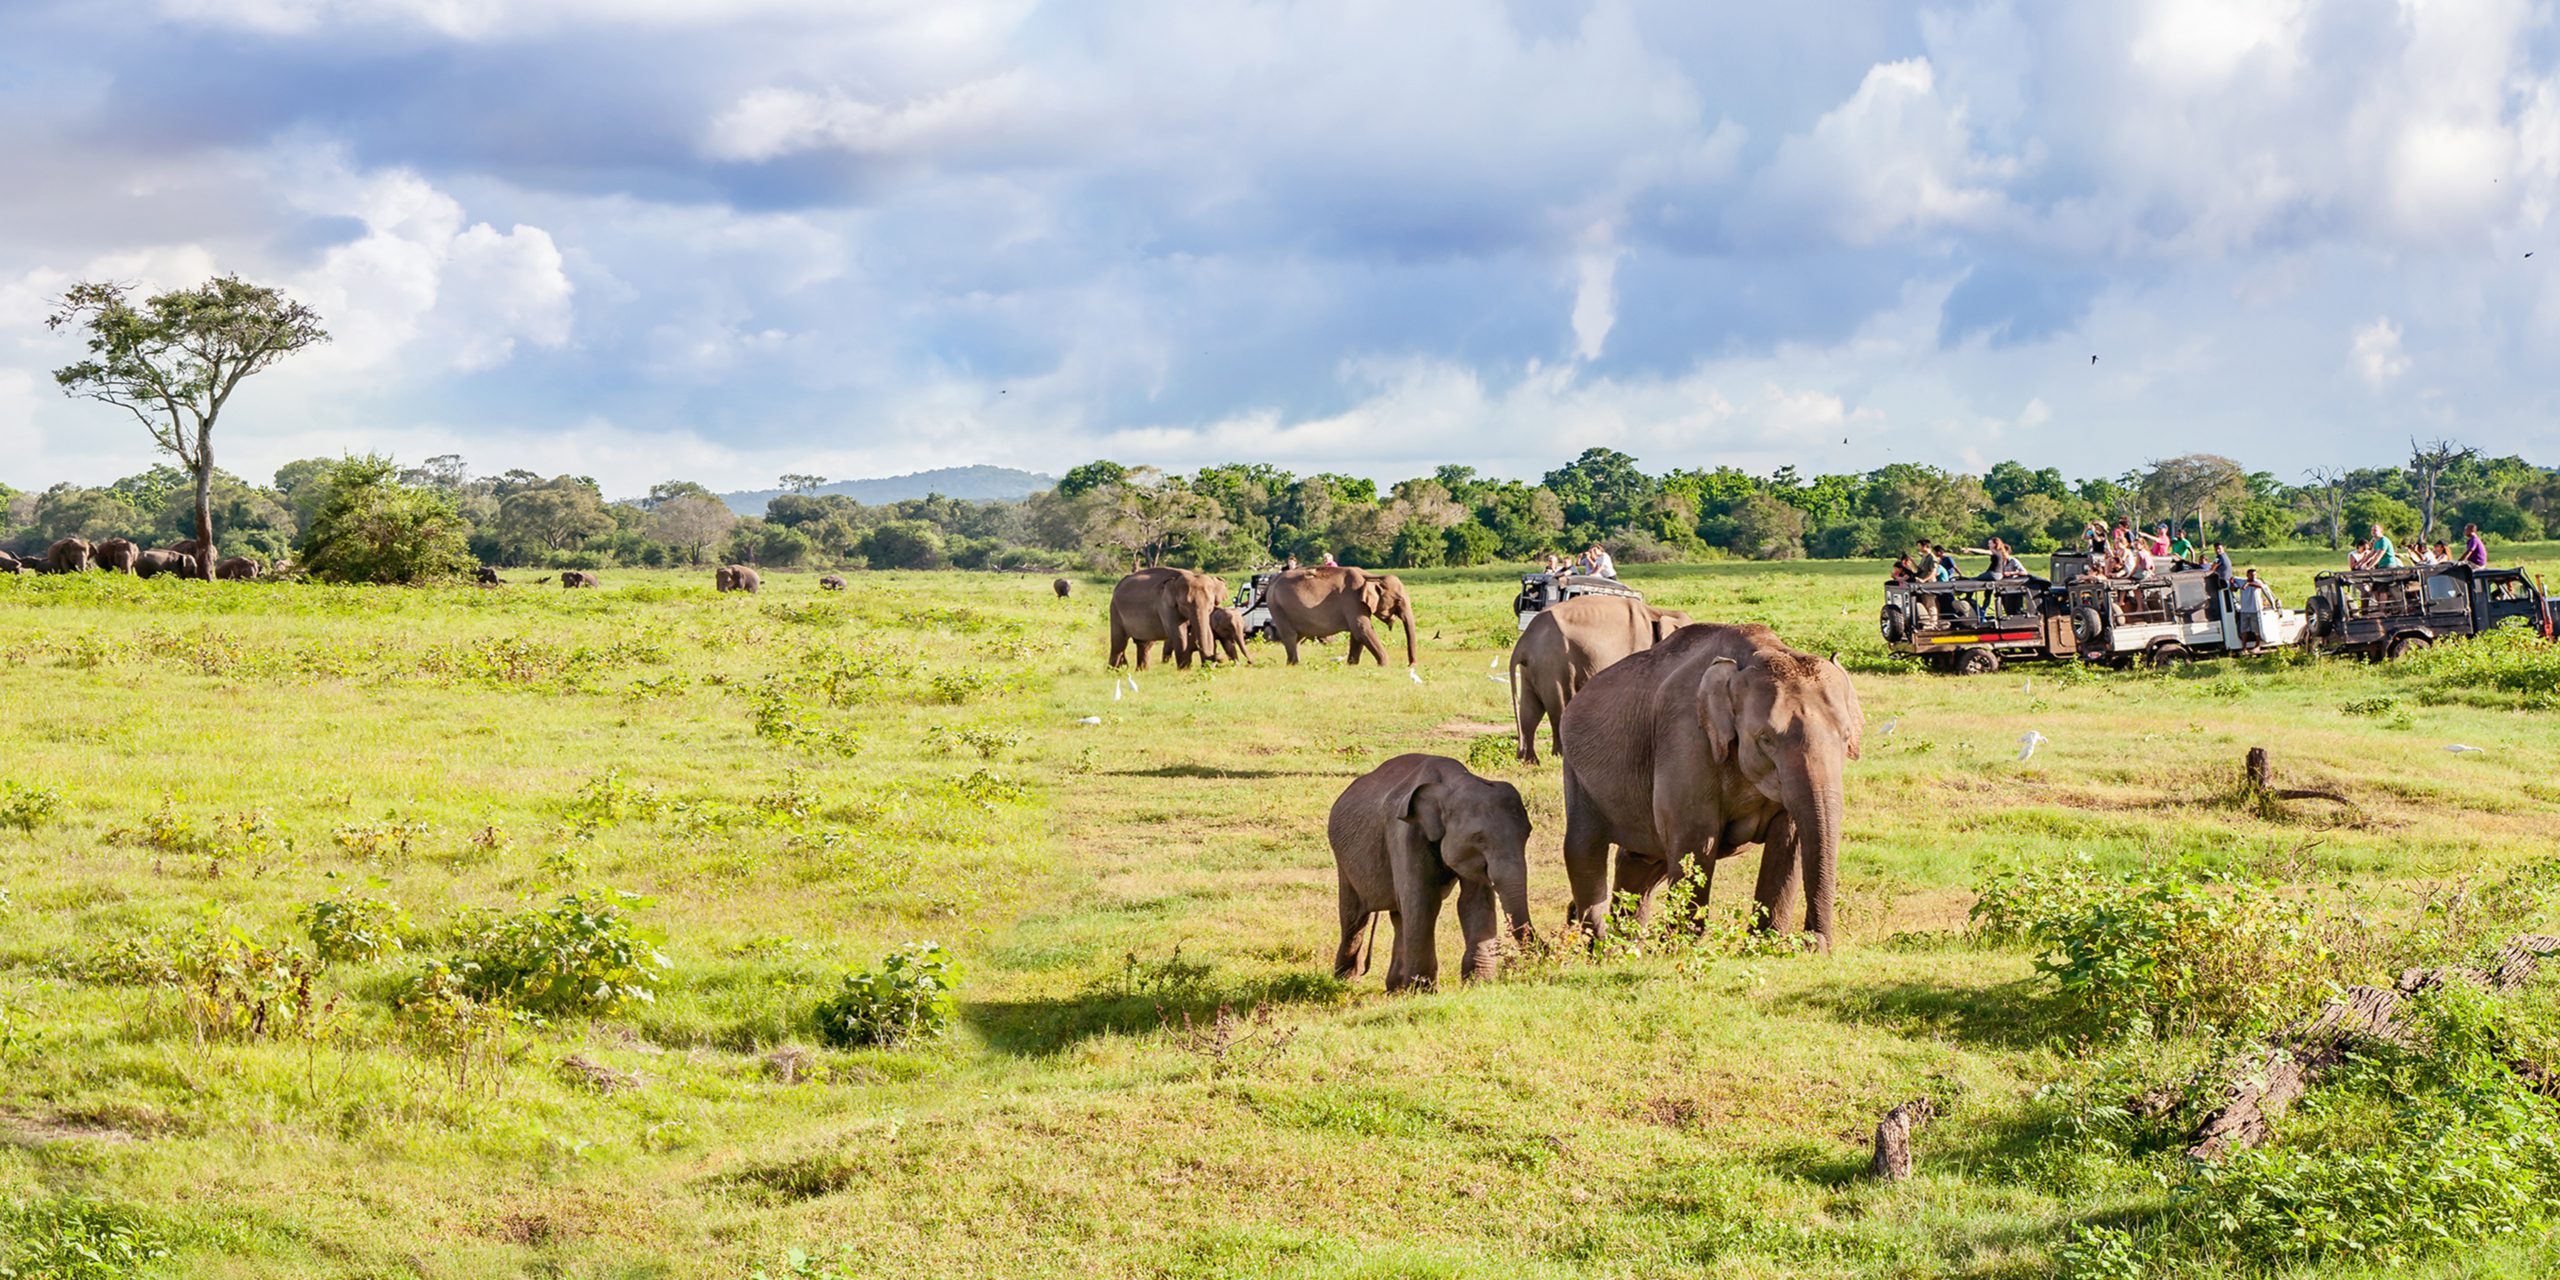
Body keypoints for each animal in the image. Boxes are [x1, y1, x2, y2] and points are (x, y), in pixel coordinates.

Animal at [1264, 568, 1423, 670]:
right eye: (1399, 600)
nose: (1411, 665)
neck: (1371, 576)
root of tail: (1272, 582)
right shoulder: (1352, 601)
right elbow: (1362, 629)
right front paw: (1384, 665)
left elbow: (1357, 634)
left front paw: (1351, 665)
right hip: (1278, 608)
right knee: (1290, 635)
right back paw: (1295, 664)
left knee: (1297, 637)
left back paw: (1290, 664)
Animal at [1331, 747, 1525, 988]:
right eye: (1479, 838)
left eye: (1527, 834)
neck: (1452, 783)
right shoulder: (1405, 833)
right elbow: (1423, 900)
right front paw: (1423, 990)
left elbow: (1473, 902)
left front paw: (1478, 985)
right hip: (1344, 860)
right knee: (1354, 918)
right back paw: (1345, 982)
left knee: (1398, 916)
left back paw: (1395, 988)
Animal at [1505, 596, 1689, 762]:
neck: (1659, 612)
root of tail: (1523, 643)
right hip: (1552, 664)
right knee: (1560, 704)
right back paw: (1560, 757)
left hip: (1532, 669)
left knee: (1530, 711)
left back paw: (1529, 760)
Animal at [1556, 624, 1863, 947]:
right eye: (1766, 739)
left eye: (1846, 737)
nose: (1812, 940)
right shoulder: (1686, 739)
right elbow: (1697, 839)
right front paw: (1679, 945)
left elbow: (1788, 838)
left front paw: (1766, 944)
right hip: (1576, 773)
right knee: (1583, 850)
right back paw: (1601, 943)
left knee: (1641, 860)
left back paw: (1626, 944)